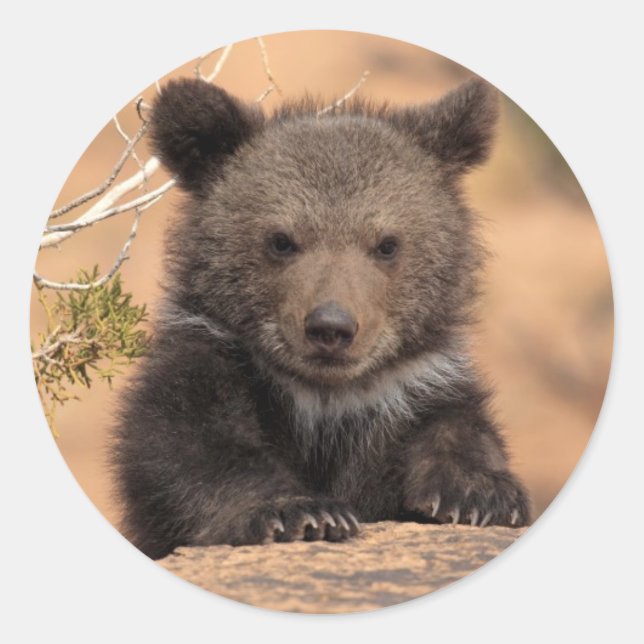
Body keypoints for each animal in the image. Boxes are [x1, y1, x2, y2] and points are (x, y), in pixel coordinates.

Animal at [112, 76, 530, 560]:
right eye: (281, 240)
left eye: (387, 244)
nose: (331, 327)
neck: (326, 402)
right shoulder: (212, 362)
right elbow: (189, 445)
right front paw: (301, 511)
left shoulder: (413, 387)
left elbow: (457, 427)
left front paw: (479, 494)